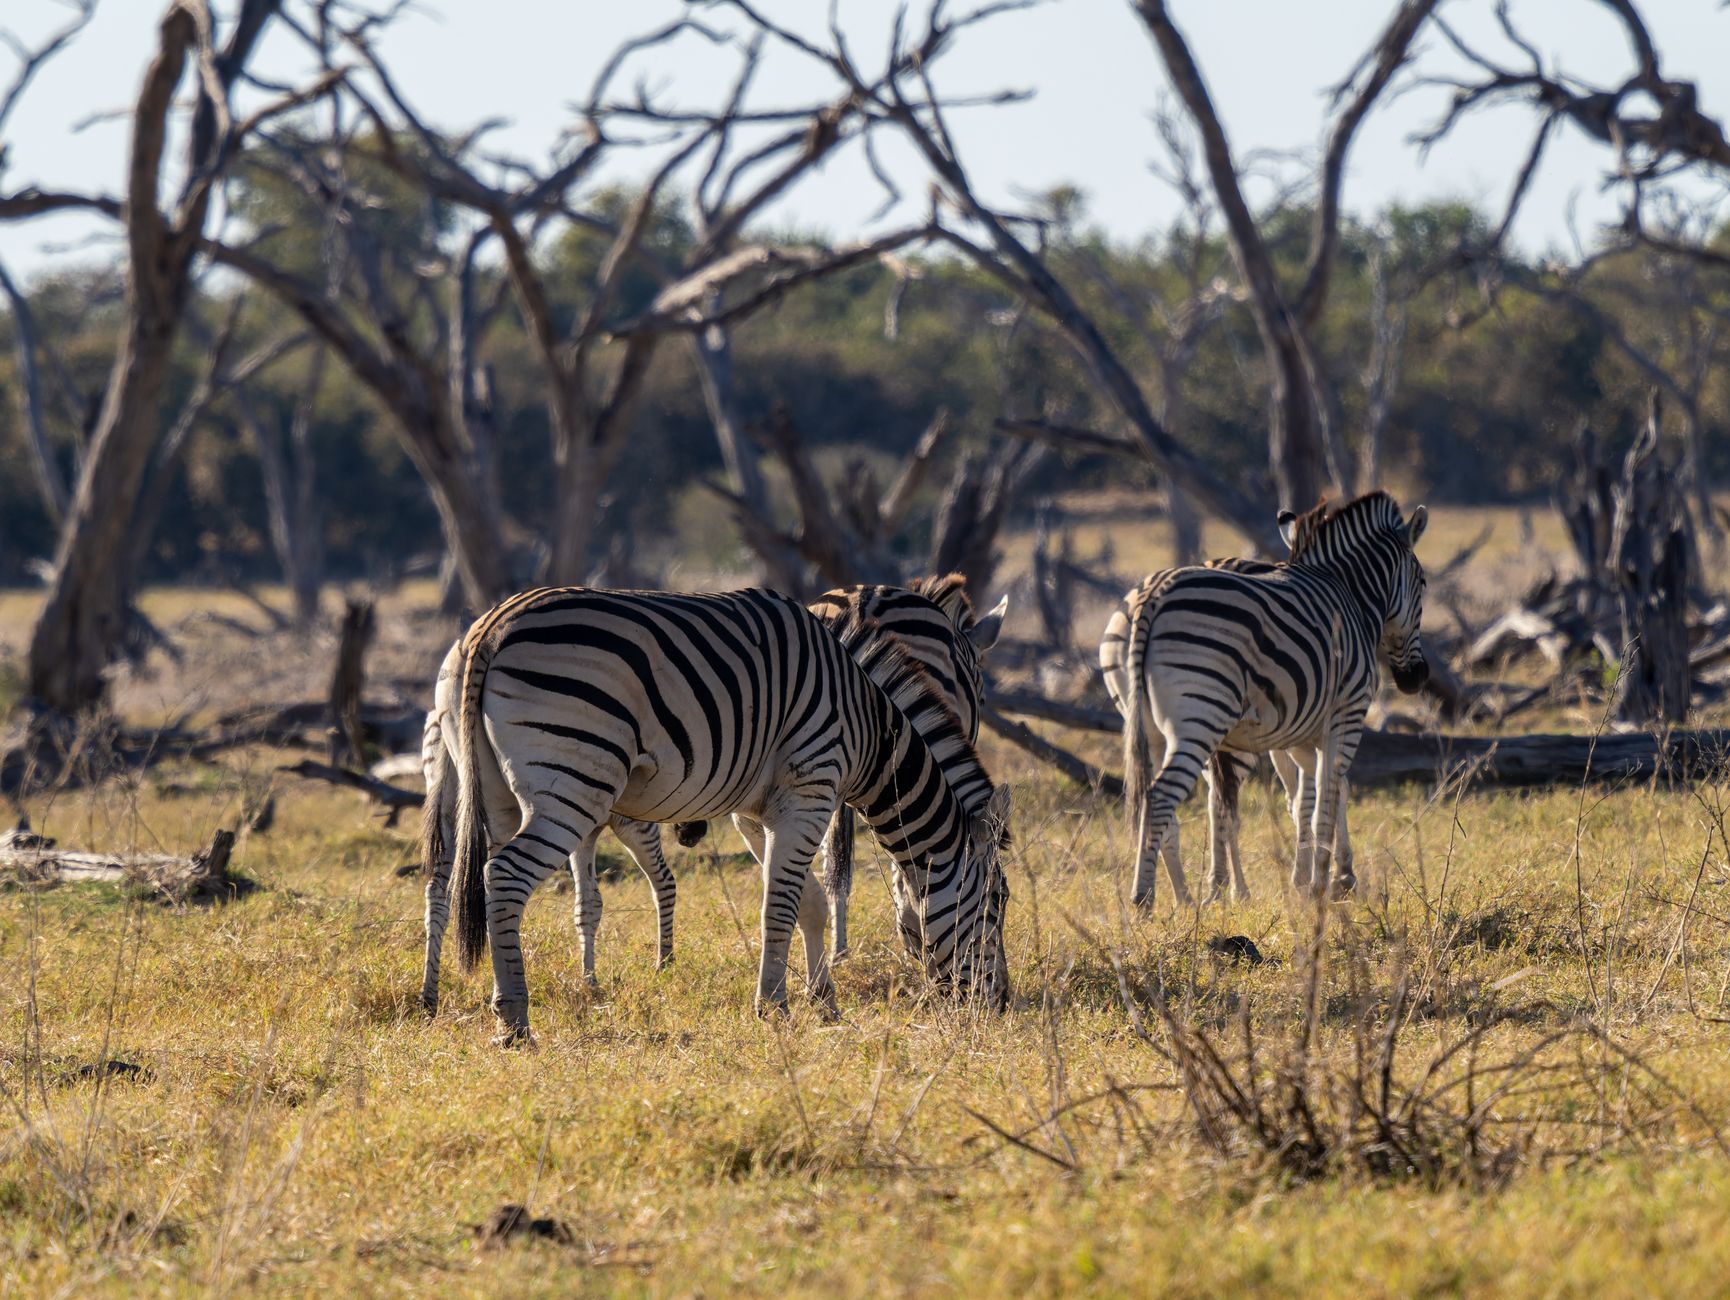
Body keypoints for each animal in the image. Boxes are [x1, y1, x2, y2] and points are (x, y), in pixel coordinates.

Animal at [423, 586, 1013, 1044]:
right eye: (998, 901)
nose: (1002, 1004)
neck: (866, 721)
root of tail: (489, 629)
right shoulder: (810, 788)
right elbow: (780, 907)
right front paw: (774, 1007)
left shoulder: (757, 811)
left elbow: (810, 904)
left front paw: (823, 1000)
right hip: (572, 781)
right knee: (505, 877)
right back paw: (515, 1022)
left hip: (494, 791)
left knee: (479, 878)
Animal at [1101, 559, 1352, 905]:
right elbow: (1315, 793)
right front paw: (1328, 876)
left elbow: (1308, 794)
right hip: (1215, 726)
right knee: (1215, 802)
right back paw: (1222, 889)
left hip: (1167, 724)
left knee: (1197, 804)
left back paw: (1194, 893)